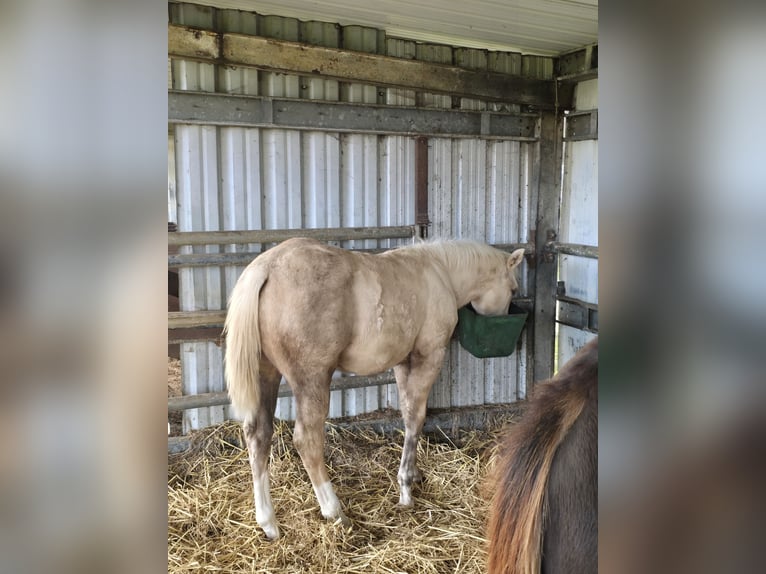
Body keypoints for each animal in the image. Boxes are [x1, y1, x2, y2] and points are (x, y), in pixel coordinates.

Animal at [223, 237, 526, 539]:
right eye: (513, 288)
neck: (441, 271)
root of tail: (267, 267)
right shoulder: (429, 356)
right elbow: (417, 417)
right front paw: (406, 488)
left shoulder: (403, 362)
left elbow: (408, 415)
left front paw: (413, 474)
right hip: (312, 380)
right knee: (307, 440)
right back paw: (334, 511)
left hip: (266, 375)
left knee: (258, 437)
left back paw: (269, 523)